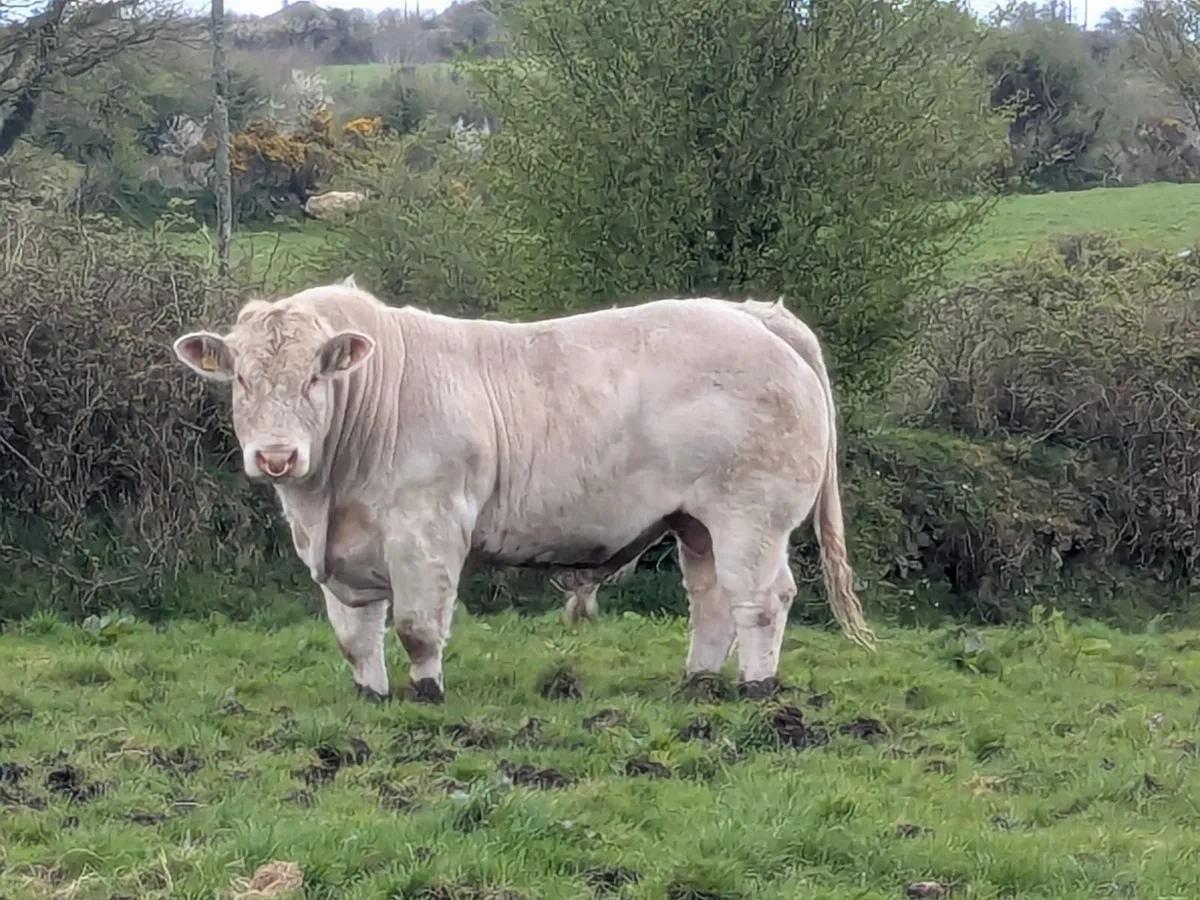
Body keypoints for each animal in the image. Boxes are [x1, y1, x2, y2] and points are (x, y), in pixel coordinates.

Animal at [171, 281, 876, 704]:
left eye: (315, 377)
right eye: (242, 379)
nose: (277, 456)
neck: (327, 500)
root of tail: (753, 314)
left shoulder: (427, 527)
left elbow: (418, 625)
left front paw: (428, 696)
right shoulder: (340, 552)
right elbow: (356, 635)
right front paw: (373, 697)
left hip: (750, 514)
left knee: (761, 599)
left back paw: (757, 688)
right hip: (696, 521)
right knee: (711, 602)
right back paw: (697, 685)